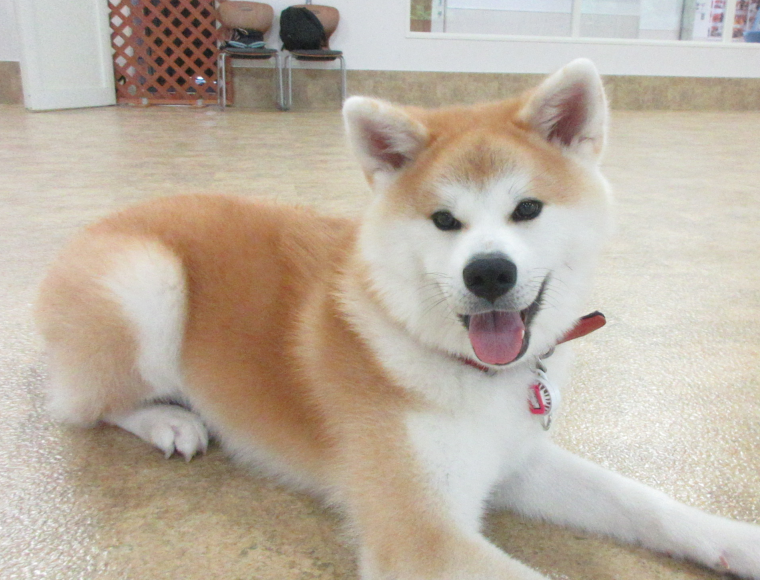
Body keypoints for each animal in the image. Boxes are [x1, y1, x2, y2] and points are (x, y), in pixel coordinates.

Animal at [35, 59, 760, 580]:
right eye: (444, 220)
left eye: (527, 209)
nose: (488, 273)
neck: (464, 366)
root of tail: (92, 227)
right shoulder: (421, 537)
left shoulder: (519, 461)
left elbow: (644, 503)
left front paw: (737, 541)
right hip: (147, 282)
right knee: (84, 404)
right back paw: (169, 419)